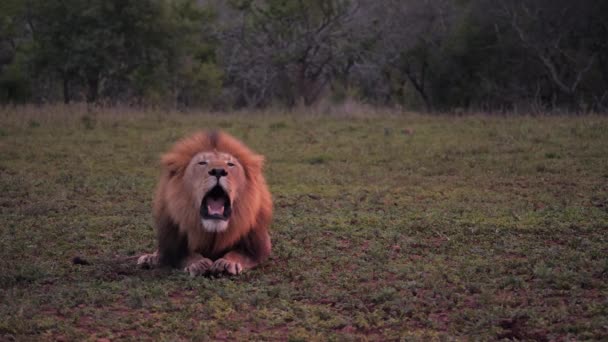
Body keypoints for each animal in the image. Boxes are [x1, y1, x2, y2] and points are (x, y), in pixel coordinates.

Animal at [138, 130, 274, 276]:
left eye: (230, 164)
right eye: (202, 163)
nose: (218, 171)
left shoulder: (256, 246)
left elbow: (240, 254)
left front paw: (227, 263)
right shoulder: (175, 244)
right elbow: (185, 255)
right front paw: (198, 263)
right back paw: (149, 258)